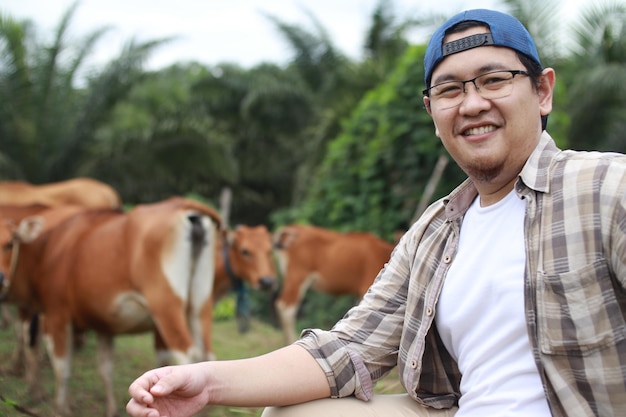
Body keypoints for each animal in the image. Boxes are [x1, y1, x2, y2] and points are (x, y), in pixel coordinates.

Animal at [0, 196, 222, 416]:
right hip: (201, 304)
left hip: (166, 307)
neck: (46, 252)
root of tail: (181, 203)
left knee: (188, 354)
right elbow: (105, 368)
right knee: (206, 354)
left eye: (9, 243)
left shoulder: (57, 314)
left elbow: (61, 365)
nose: (1, 278)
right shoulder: (104, 325)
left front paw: (60, 407)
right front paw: (111, 409)